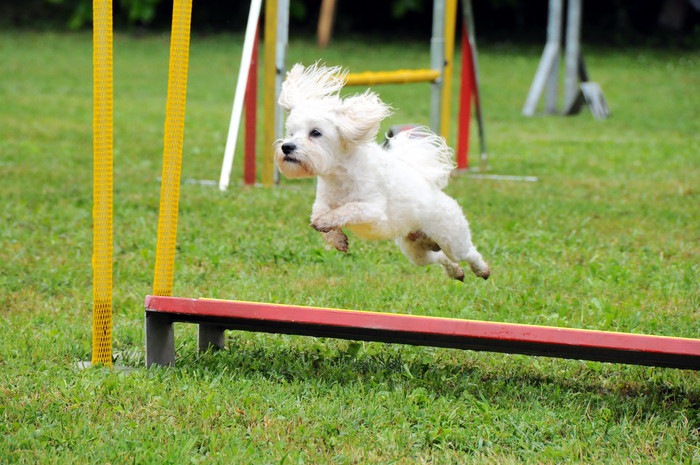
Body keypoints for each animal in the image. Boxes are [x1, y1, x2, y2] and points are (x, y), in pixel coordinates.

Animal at [274, 61, 492, 280]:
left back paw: (482, 270)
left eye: (316, 133)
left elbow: (348, 209)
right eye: (291, 133)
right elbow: (317, 214)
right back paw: (456, 272)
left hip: (451, 237)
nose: (287, 147)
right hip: (415, 249)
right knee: (439, 258)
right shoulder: (322, 201)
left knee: (469, 253)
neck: (340, 175)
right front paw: (336, 238)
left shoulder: (373, 209)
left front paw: (328, 221)